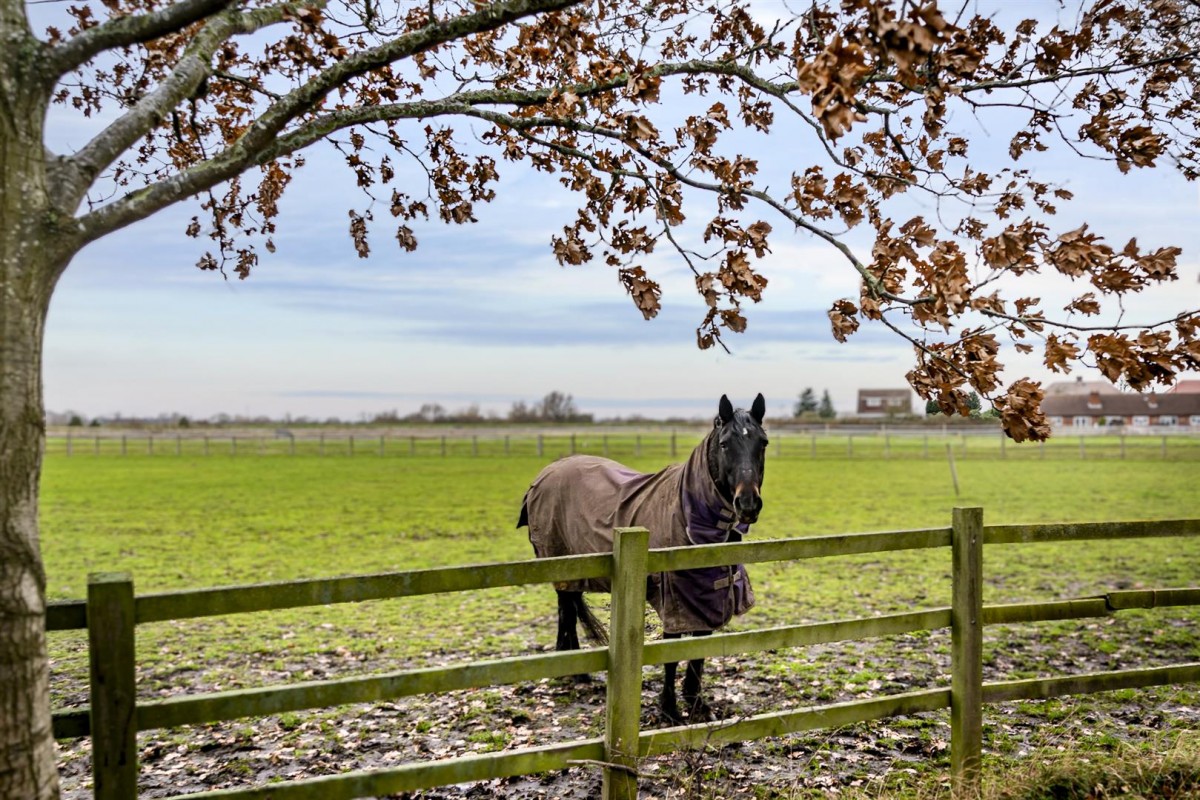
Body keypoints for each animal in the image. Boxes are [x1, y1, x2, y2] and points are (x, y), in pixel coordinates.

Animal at [518, 391, 768, 724]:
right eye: (726, 443)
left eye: (762, 442)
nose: (748, 504)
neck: (688, 512)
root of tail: (547, 471)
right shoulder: (675, 599)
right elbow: (671, 653)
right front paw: (669, 710)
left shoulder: (705, 597)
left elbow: (699, 649)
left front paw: (697, 705)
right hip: (561, 566)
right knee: (566, 609)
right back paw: (572, 672)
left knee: (568, 608)